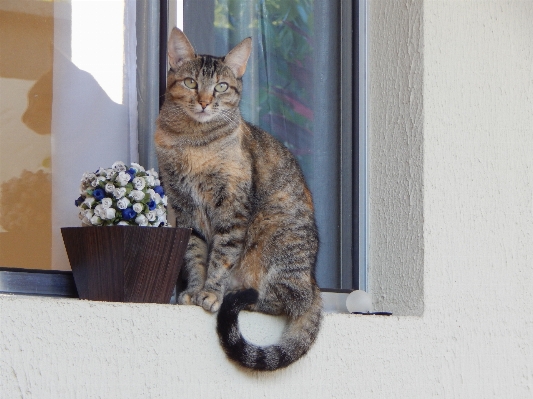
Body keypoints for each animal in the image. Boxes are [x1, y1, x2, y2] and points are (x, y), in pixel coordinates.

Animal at [154, 27, 320, 372]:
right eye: (191, 83)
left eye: (221, 86)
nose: (205, 102)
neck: (192, 142)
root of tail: (314, 283)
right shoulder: (185, 210)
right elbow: (195, 255)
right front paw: (193, 290)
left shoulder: (232, 209)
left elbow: (222, 256)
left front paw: (211, 292)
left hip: (275, 236)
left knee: (285, 302)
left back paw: (240, 294)